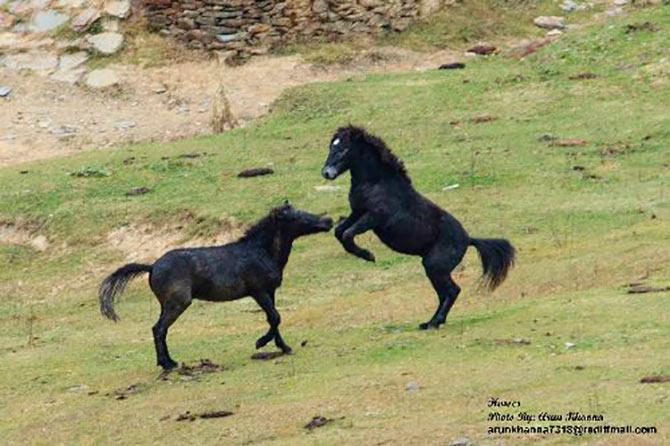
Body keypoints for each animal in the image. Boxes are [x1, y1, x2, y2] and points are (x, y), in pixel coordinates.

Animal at [97, 203, 334, 370]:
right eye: (297, 216)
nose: (328, 220)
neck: (260, 251)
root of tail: (152, 266)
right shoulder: (258, 291)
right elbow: (275, 317)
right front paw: (260, 343)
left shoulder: (270, 291)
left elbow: (273, 318)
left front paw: (283, 347)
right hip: (178, 303)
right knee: (159, 328)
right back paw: (167, 364)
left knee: (160, 329)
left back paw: (169, 361)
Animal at [322, 125, 516, 328]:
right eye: (331, 146)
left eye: (343, 149)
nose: (326, 172)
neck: (377, 183)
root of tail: (468, 239)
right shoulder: (357, 212)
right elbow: (340, 232)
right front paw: (364, 254)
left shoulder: (373, 217)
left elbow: (347, 234)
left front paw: (369, 256)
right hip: (435, 270)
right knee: (445, 294)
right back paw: (433, 322)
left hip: (434, 267)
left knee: (452, 291)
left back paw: (432, 323)